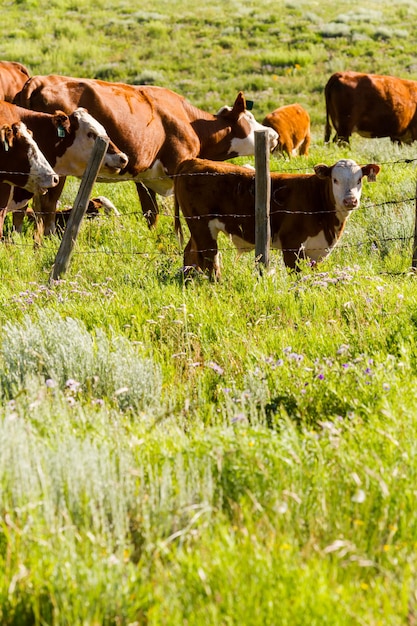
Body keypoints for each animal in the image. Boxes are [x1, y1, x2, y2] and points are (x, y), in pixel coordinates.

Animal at [174, 156, 378, 278]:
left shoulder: (317, 250)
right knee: (209, 258)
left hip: (198, 228)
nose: (350, 200)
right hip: (201, 225)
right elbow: (296, 274)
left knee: (191, 253)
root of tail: (192, 160)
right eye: (335, 180)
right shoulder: (291, 243)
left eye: (359, 180)